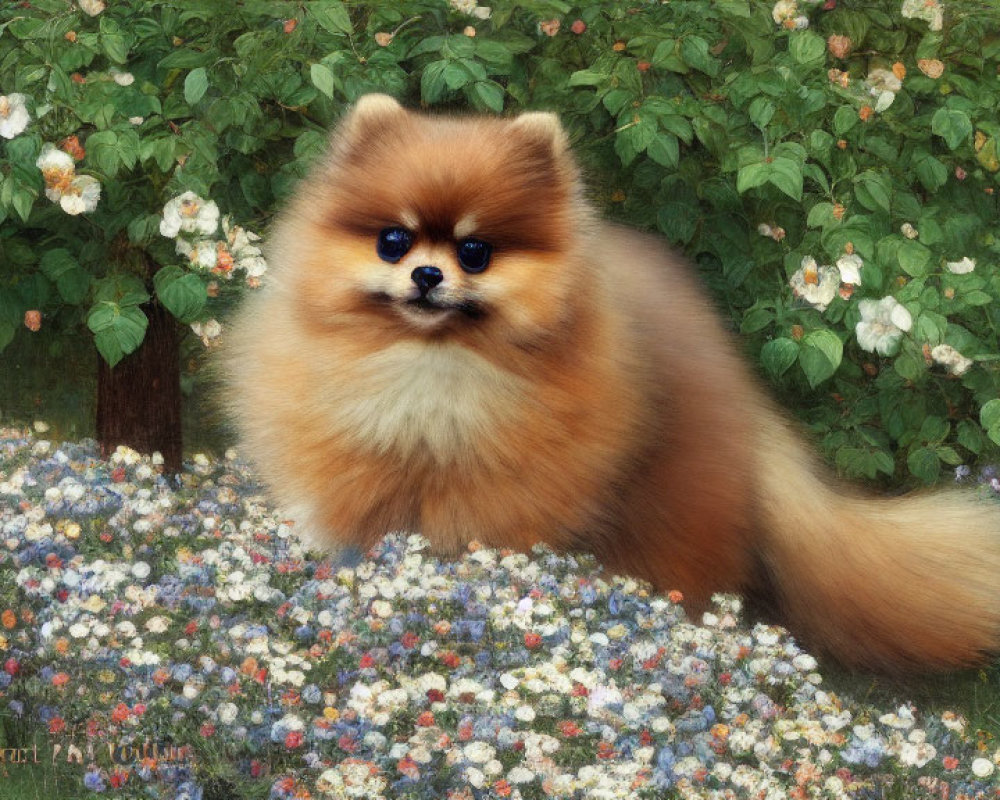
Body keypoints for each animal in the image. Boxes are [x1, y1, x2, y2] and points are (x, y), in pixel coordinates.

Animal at [227, 92, 1000, 668]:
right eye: (393, 240)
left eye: (475, 252)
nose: (425, 274)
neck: (431, 362)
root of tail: (745, 393)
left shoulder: (497, 491)